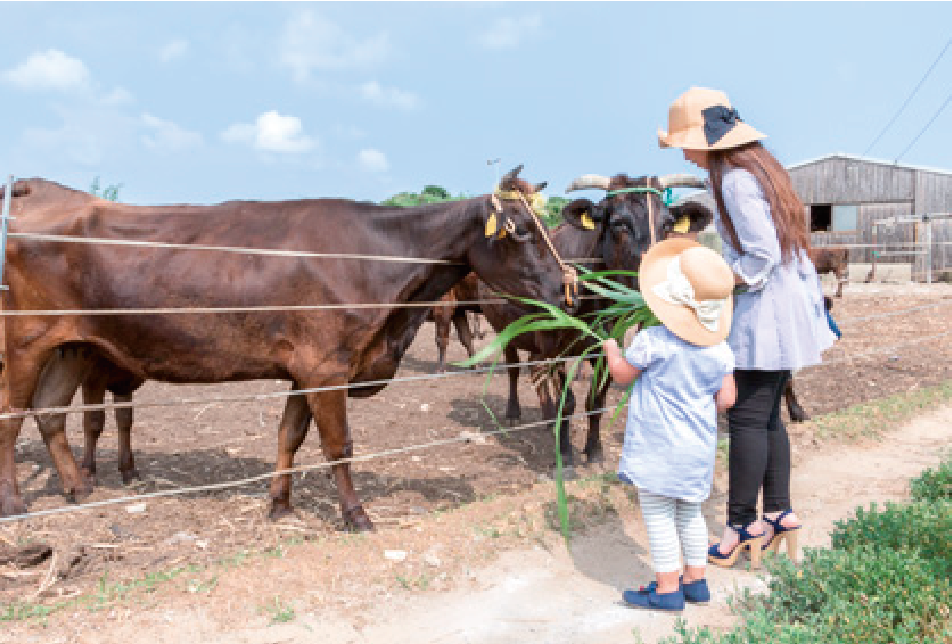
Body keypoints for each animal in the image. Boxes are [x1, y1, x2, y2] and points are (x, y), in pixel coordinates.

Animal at [0, 167, 572, 528]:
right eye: (522, 231)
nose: (565, 285)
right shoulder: (327, 366)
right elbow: (338, 445)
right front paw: (356, 515)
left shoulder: (305, 369)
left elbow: (289, 436)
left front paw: (279, 504)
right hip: (25, 342)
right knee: (12, 417)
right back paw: (15, 502)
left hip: (70, 345)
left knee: (49, 413)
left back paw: (78, 487)